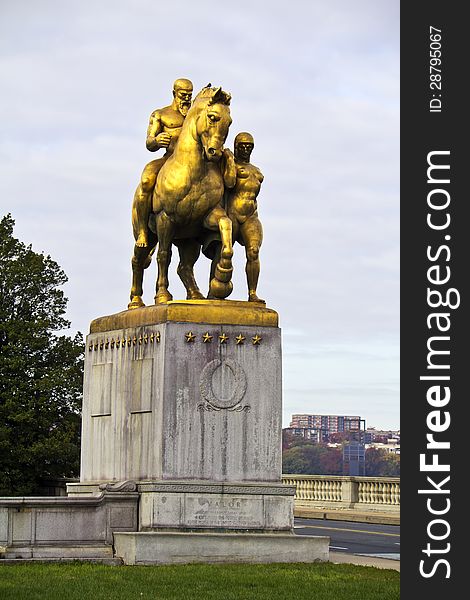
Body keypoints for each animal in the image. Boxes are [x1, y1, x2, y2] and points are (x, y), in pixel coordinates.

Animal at [129, 86, 235, 308]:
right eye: (212, 117)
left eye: (229, 121)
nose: (214, 152)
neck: (193, 171)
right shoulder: (165, 219)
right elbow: (163, 255)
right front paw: (162, 295)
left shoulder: (208, 216)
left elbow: (226, 226)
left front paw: (223, 275)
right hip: (147, 233)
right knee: (138, 259)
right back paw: (135, 301)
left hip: (189, 241)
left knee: (184, 267)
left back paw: (196, 295)